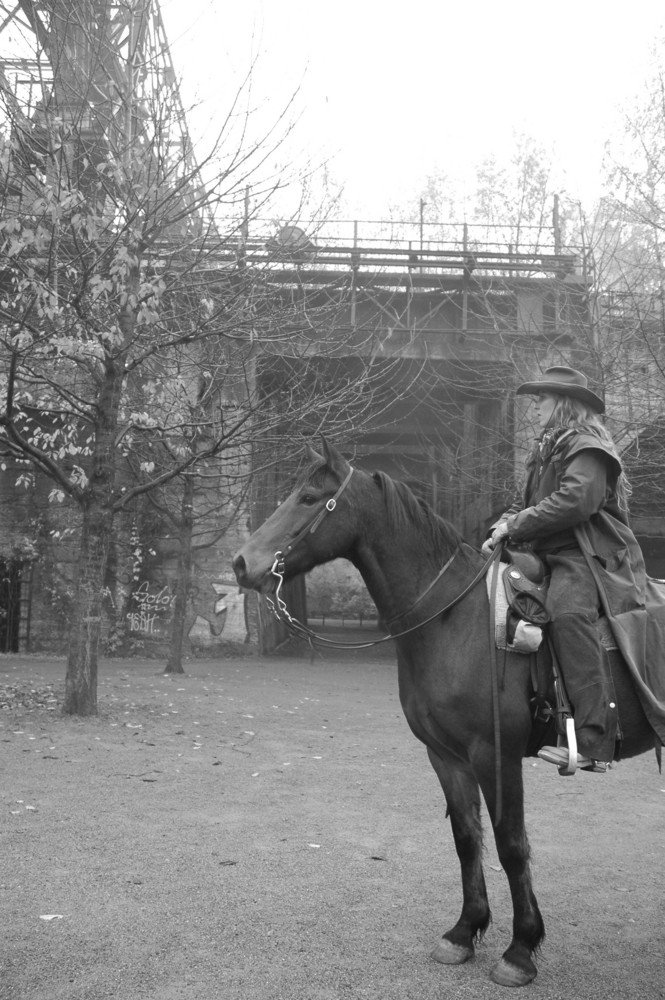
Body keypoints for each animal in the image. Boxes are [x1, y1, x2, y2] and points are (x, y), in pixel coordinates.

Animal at [232, 436, 652, 984]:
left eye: (308, 497)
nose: (241, 563)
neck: (453, 618)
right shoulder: (447, 757)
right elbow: (467, 839)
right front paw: (464, 932)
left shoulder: (496, 756)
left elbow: (511, 845)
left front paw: (520, 949)